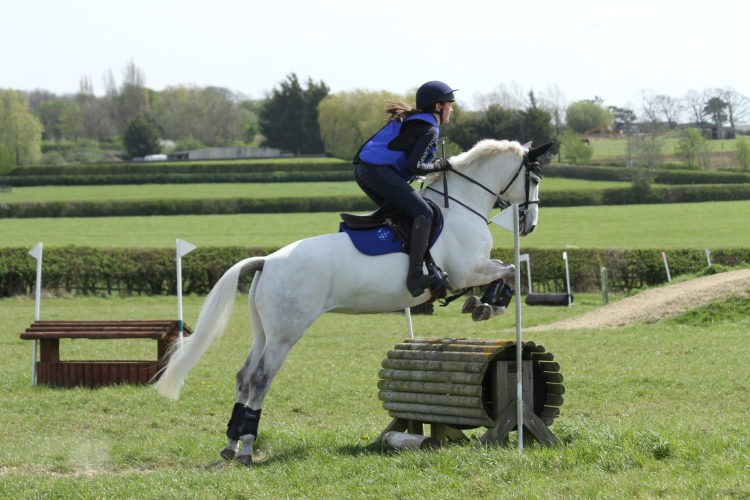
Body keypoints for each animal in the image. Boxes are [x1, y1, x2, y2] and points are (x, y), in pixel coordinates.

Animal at [155, 139, 551, 465]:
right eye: (534, 178)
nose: (530, 225)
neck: (463, 207)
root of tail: (267, 261)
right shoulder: (466, 271)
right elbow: (510, 270)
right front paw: (489, 305)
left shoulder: (470, 271)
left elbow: (507, 270)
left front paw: (481, 305)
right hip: (286, 333)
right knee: (260, 379)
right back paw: (248, 448)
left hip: (263, 331)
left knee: (243, 376)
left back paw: (231, 444)